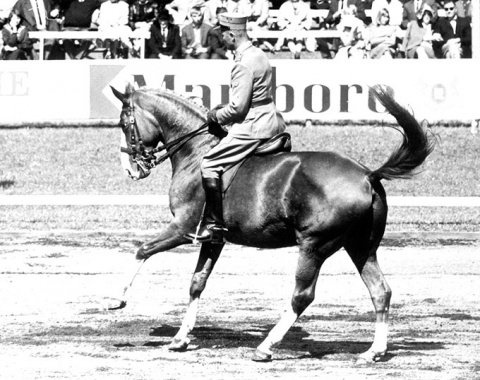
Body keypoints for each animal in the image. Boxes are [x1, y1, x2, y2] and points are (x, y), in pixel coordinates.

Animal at [111, 84, 436, 364]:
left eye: (125, 124)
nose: (130, 169)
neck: (197, 153)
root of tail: (368, 175)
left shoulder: (182, 228)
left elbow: (142, 250)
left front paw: (116, 300)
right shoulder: (212, 238)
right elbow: (196, 283)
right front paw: (180, 338)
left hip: (314, 246)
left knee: (302, 296)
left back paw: (266, 347)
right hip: (360, 248)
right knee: (380, 291)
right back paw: (373, 351)